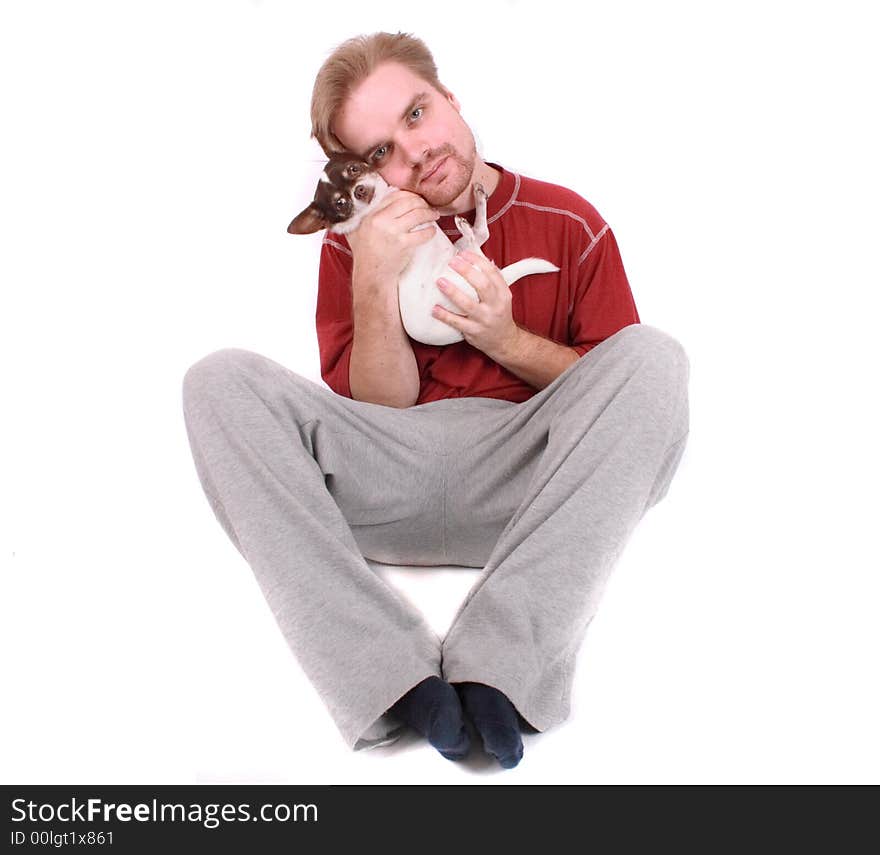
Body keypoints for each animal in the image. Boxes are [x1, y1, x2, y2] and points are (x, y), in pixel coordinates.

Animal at [288, 152, 556, 346]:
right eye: (340, 203)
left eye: (354, 169)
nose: (359, 191)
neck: (380, 201)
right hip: (457, 278)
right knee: (478, 240)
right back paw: (466, 225)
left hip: (457, 254)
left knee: (481, 236)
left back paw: (478, 202)